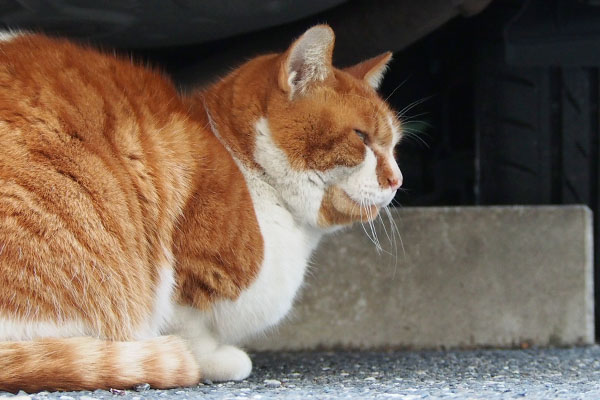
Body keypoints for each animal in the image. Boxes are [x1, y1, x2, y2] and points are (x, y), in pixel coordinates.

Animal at [0, 23, 404, 392]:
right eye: (361, 137)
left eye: (394, 145)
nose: (397, 179)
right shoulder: (186, 270)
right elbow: (189, 327)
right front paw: (211, 359)